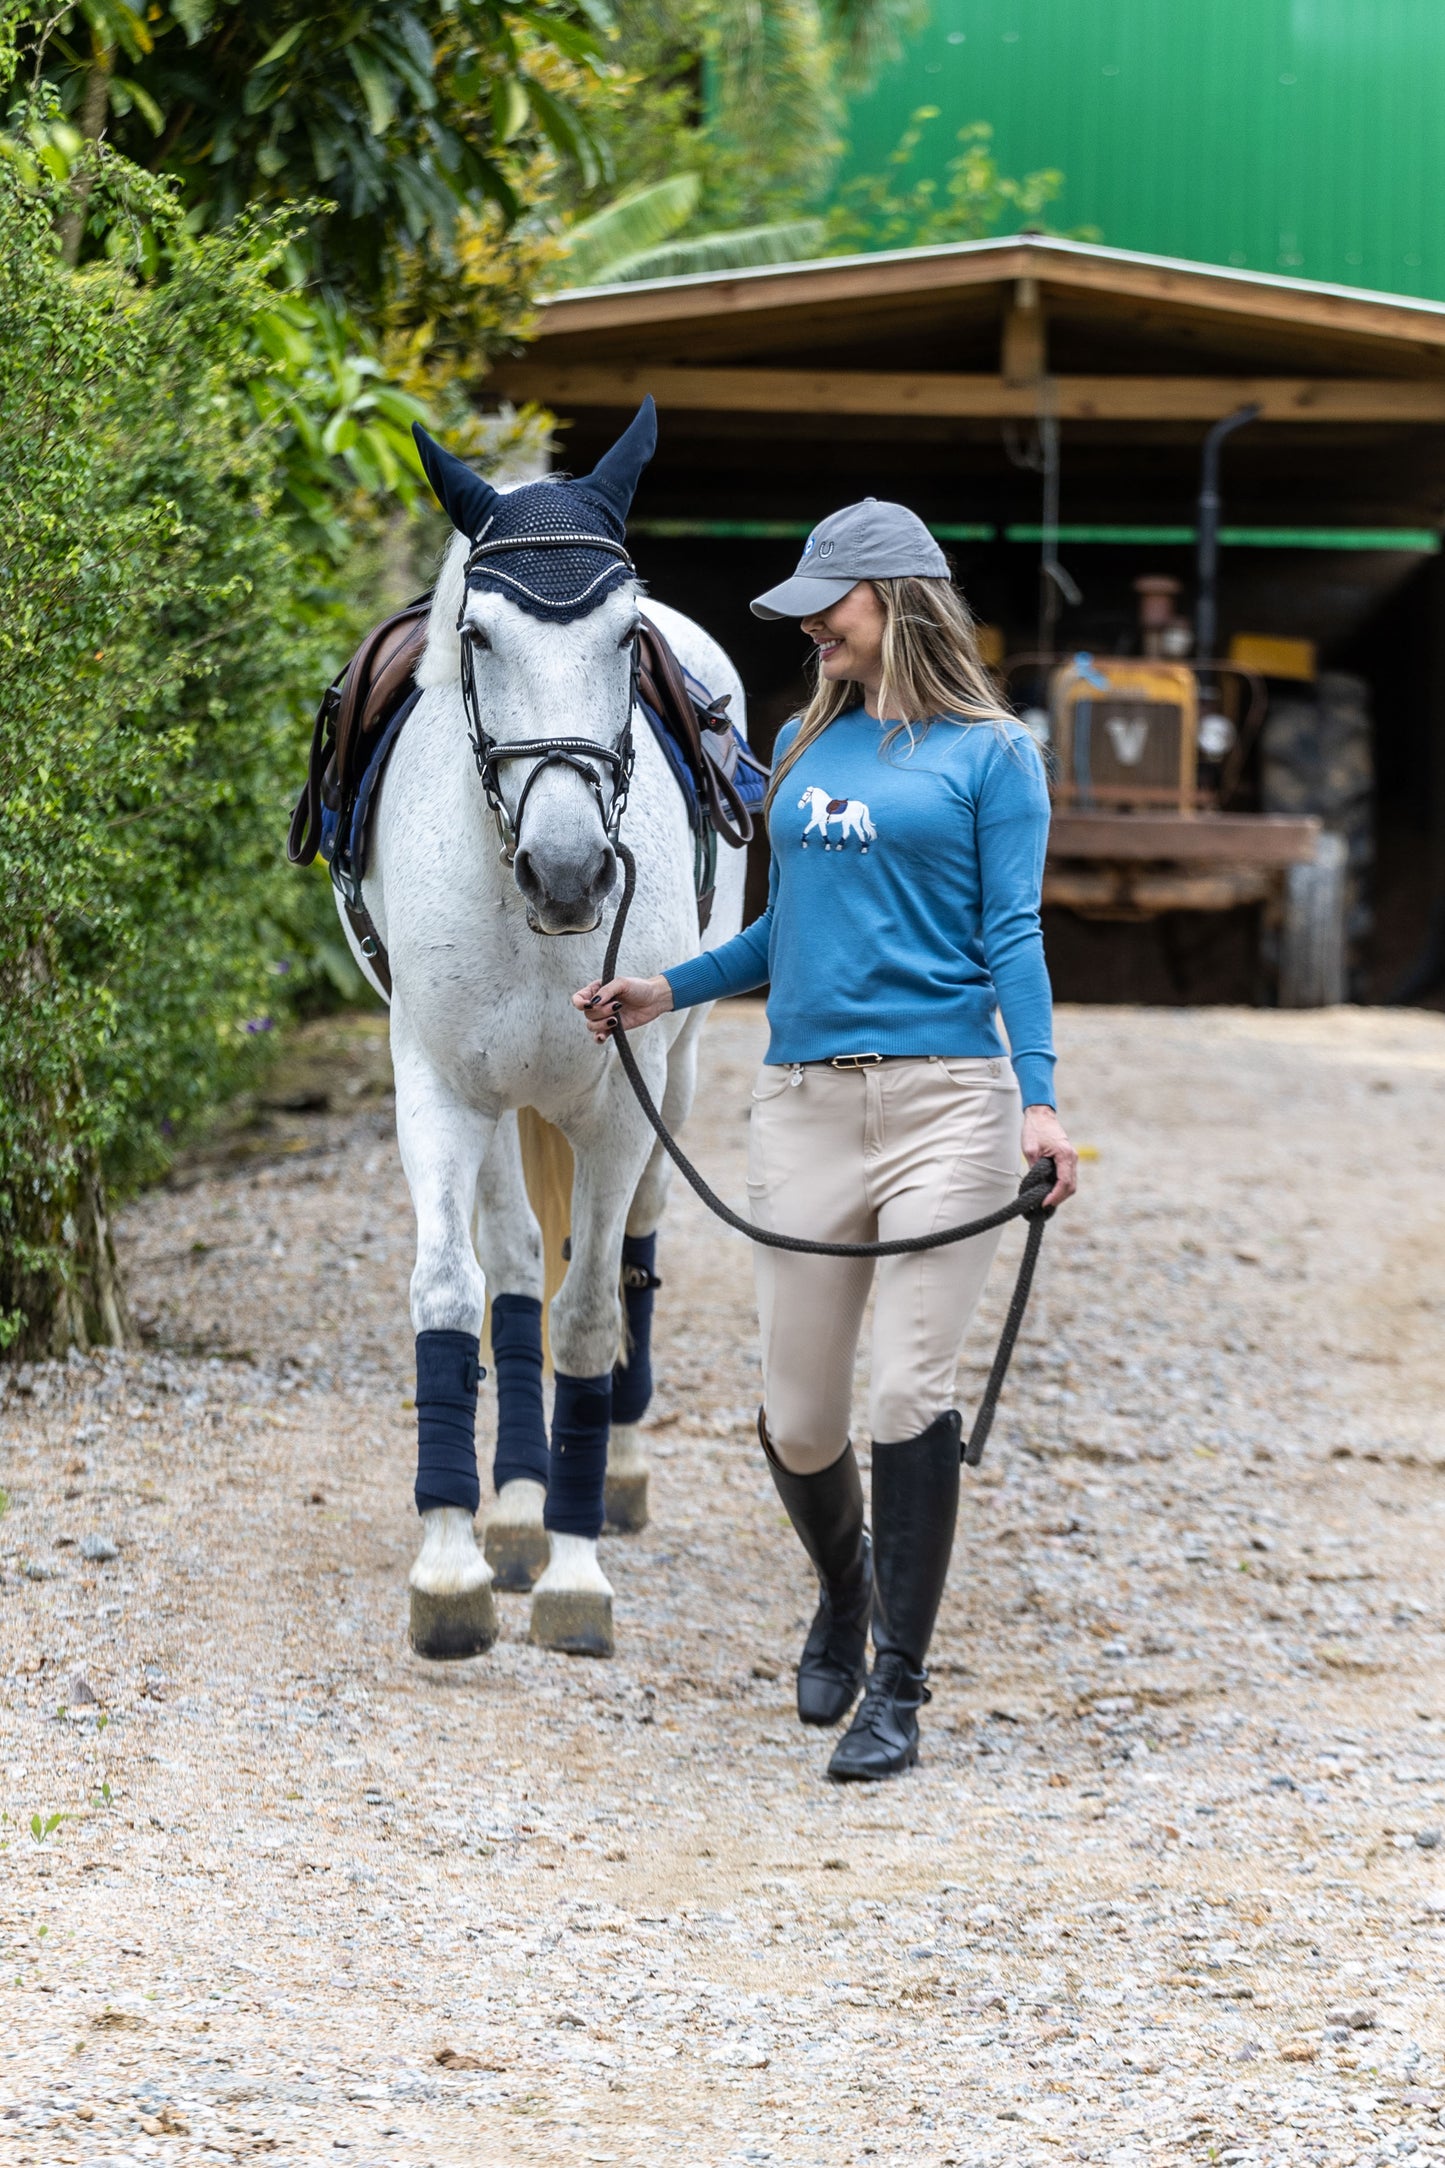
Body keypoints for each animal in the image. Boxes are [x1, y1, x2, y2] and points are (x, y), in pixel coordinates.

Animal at [338, 398, 748, 1660]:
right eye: (476, 637)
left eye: (622, 638)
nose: (566, 873)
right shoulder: (436, 1083)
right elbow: (452, 1289)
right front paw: (451, 1563)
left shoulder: (621, 1099)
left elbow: (587, 1315)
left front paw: (576, 1570)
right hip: (499, 1094)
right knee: (516, 1258)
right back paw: (516, 1504)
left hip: (678, 1071)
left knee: (631, 1252)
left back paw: (604, 1474)